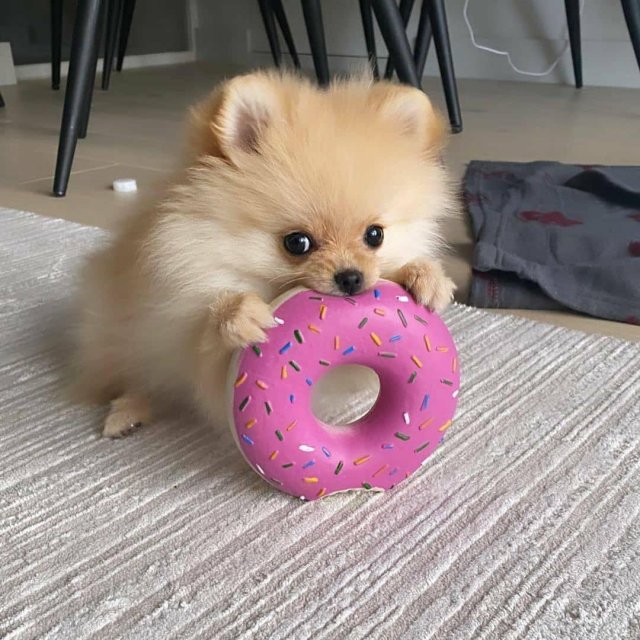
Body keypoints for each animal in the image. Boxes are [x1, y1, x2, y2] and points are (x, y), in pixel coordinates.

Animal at [72, 71, 457, 437]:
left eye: (375, 236)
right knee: (135, 374)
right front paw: (237, 313)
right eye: (297, 243)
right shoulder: (185, 323)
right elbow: (206, 340)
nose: (351, 277)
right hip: (119, 332)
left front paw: (425, 276)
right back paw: (127, 412)